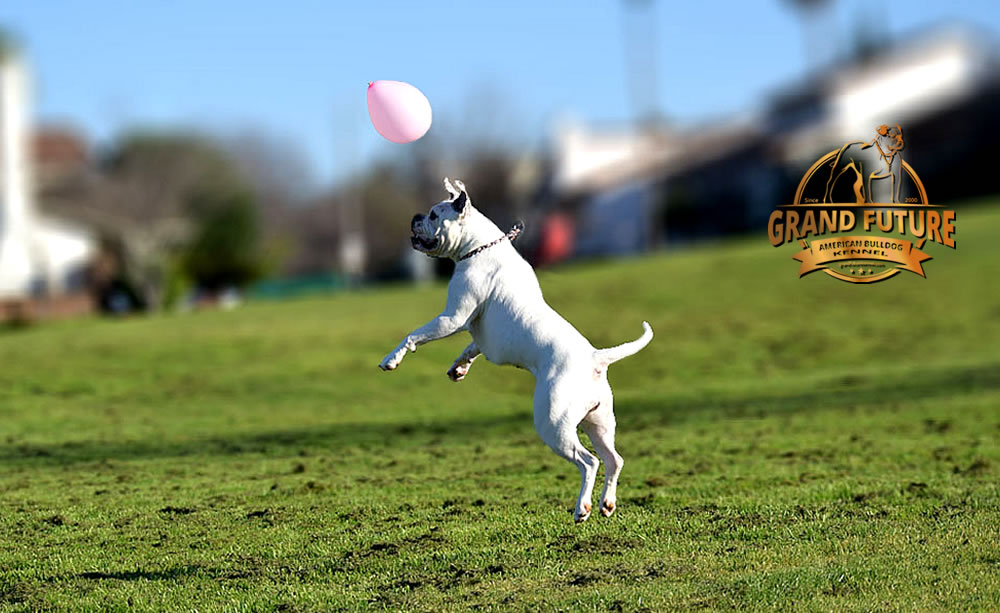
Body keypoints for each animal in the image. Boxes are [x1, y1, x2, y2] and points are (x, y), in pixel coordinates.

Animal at [378, 177, 652, 520]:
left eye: (433, 215)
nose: (415, 216)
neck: (478, 248)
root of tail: (595, 359)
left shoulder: (452, 318)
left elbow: (414, 335)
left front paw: (392, 359)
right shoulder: (476, 331)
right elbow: (470, 348)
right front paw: (459, 368)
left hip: (554, 425)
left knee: (589, 462)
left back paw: (583, 508)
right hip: (598, 424)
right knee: (614, 459)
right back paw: (606, 504)